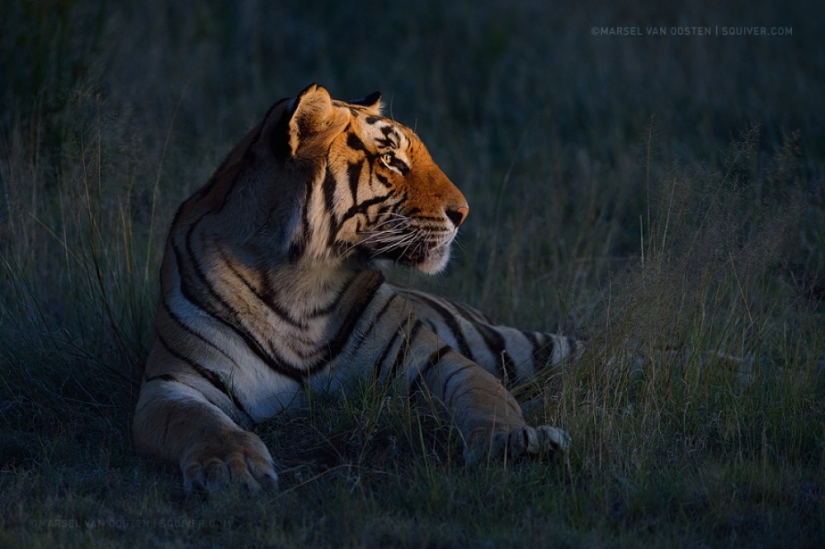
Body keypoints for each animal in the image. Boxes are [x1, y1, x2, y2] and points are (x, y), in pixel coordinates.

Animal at [133, 84, 582, 492]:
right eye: (391, 160)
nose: (463, 212)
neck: (300, 283)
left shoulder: (434, 360)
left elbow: (487, 397)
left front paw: (516, 441)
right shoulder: (174, 384)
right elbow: (204, 424)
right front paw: (232, 468)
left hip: (523, 344)